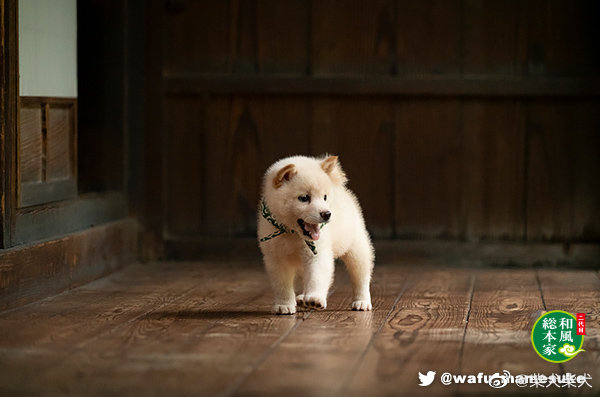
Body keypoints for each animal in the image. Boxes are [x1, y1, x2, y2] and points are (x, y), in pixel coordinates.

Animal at [258, 155, 376, 312]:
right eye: (304, 198)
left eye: (325, 197)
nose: (327, 214)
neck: (292, 233)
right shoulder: (276, 258)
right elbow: (281, 285)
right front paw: (284, 304)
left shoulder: (317, 252)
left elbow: (317, 277)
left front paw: (315, 298)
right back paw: (303, 297)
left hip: (356, 248)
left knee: (361, 277)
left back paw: (362, 301)